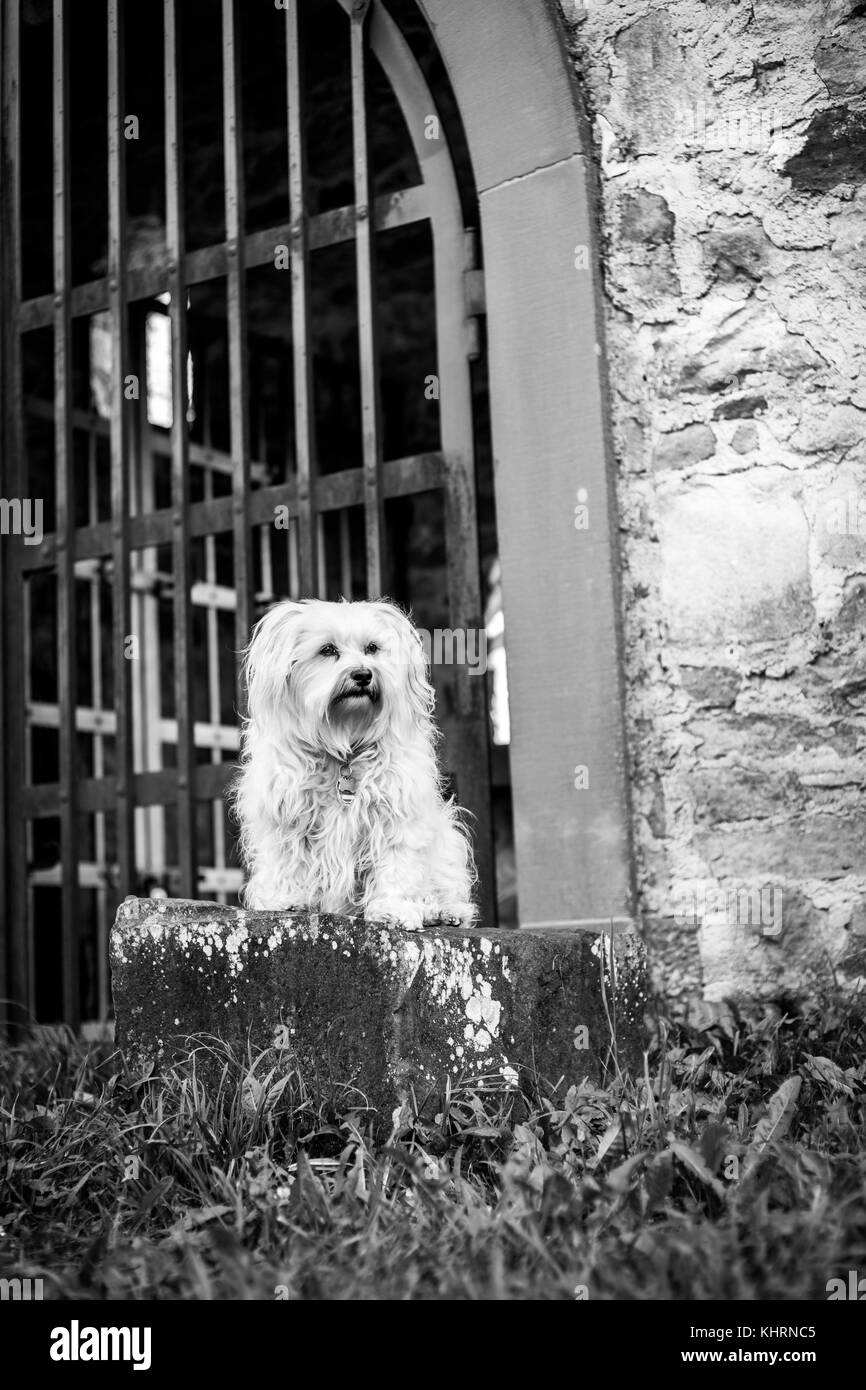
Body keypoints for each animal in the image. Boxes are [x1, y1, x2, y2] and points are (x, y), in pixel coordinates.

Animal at [233, 594, 478, 928]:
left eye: (372, 648)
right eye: (327, 650)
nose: (363, 674)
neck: (345, 742)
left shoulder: (395, 813)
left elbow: (396, 865)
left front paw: (393, 908)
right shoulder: (285, 813)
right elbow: (287, 859)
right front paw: (285, 899)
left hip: (447, 843)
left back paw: (441, 910)